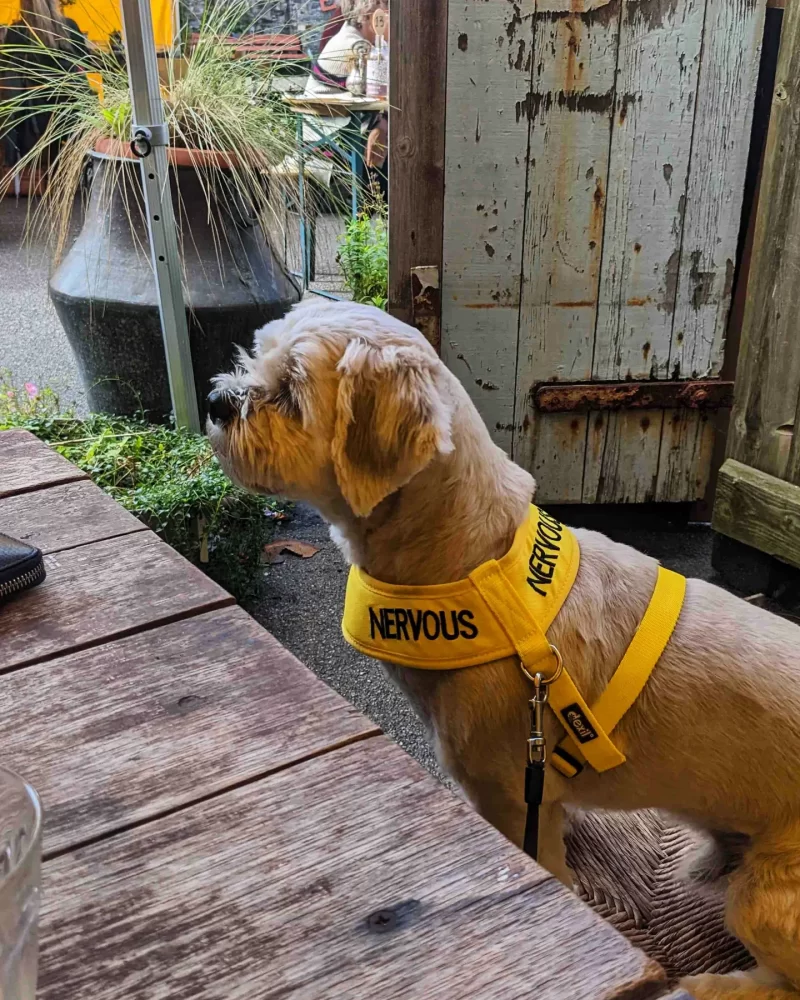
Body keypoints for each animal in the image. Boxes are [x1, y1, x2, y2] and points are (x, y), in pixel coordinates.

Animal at [209, 300, 800, 996]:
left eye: (290, 392)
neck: (474, 570)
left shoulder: (506, 792)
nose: (217, 402)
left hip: (769, 892)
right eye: (256, 355)